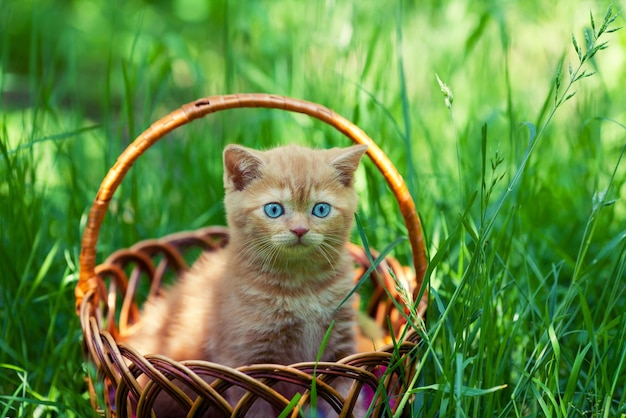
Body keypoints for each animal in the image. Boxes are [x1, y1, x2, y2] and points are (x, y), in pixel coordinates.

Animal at [124, 142, 366, 416]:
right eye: (274, 209)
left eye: (321, 209)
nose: (300, 230)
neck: (301, 286)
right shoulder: (247, 365)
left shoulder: (340, 353)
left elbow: (349, 401)